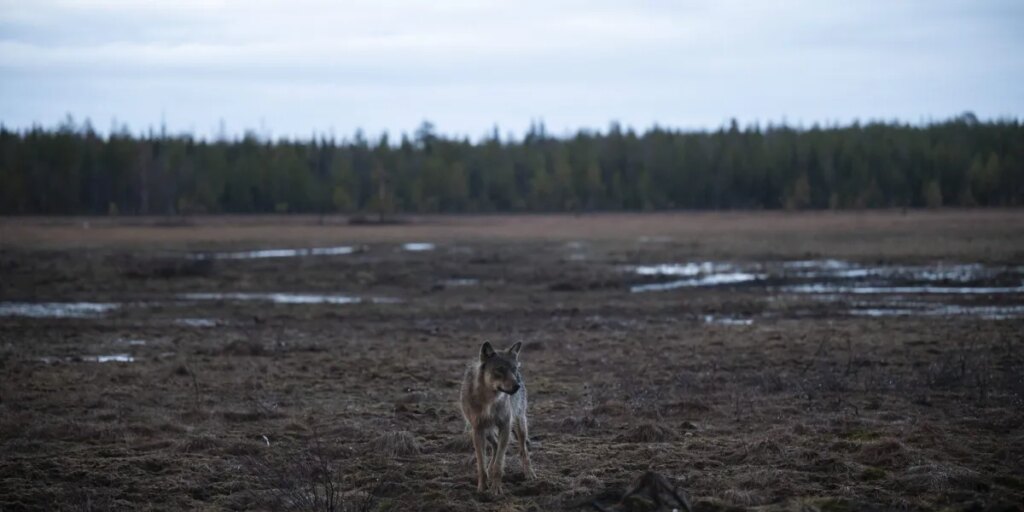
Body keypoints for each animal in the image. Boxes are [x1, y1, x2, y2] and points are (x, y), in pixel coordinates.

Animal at [459, 341, 536, 494]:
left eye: (513, 369)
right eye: (499, 370)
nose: (517, 386)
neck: (489, 400)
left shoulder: (505, 426)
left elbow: (499, 464)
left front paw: (496, 489)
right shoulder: (477, 430)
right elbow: (481, 464)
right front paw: (482, 488)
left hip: (519, 424)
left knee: (523, 451)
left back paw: (529, 473)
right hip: (487, 431)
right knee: (494, 445)